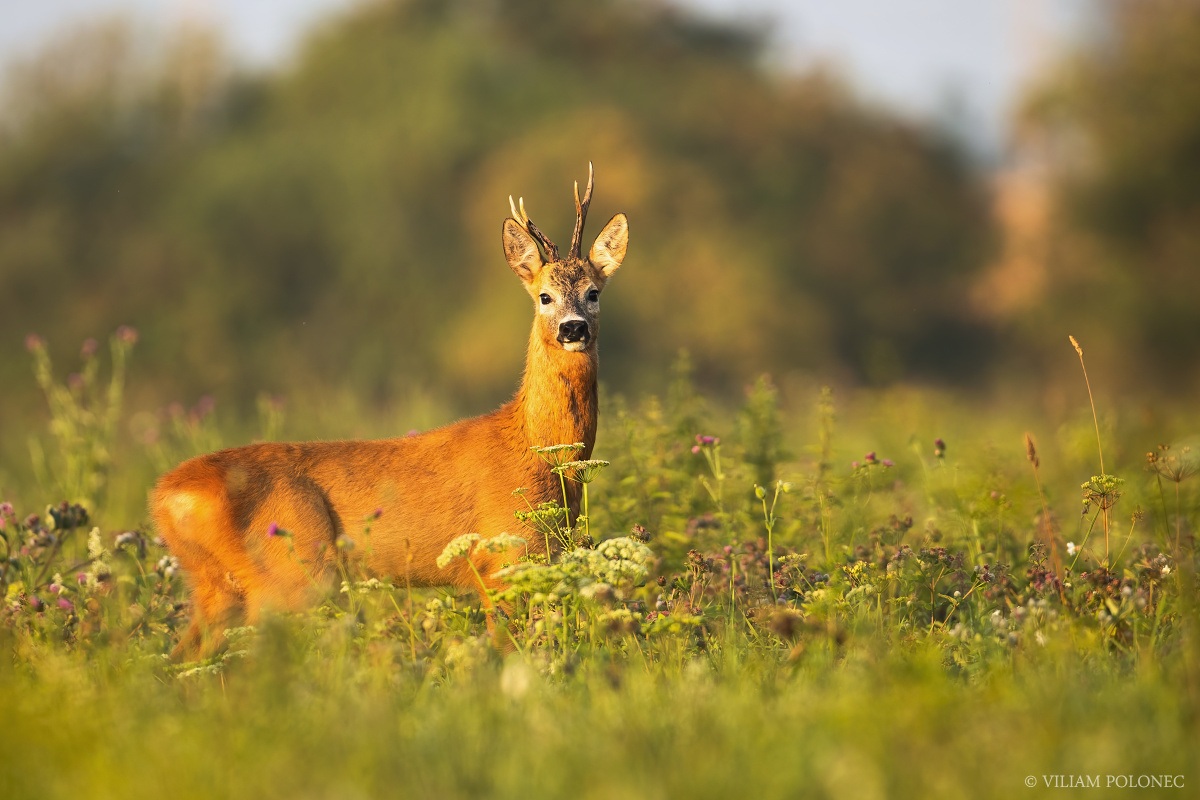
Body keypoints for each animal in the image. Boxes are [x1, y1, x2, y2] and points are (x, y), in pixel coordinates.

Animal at [152, 163, 628, 657]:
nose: (573, 329)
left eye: (593, 292)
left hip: (218, 587)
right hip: (290, 574)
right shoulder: (500, 559)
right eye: (544, 296)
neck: (538, 450)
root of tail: (168, 496)